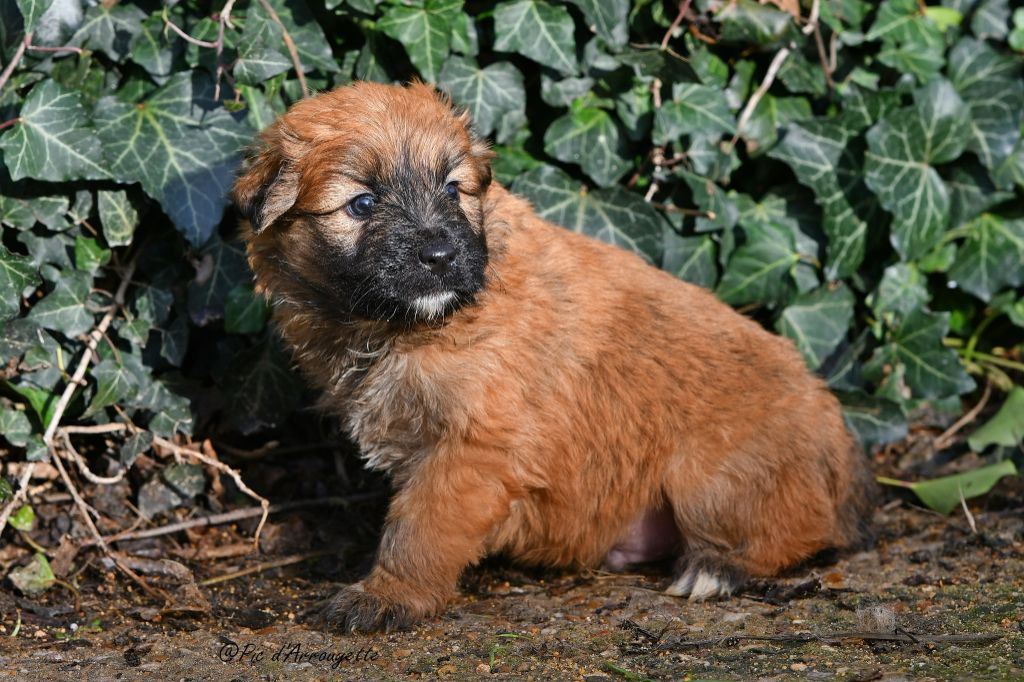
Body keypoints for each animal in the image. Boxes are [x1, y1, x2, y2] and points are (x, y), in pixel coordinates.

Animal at [232, 82, 872, 630]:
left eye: (452, 189)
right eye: (362, 204)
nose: (440, 255)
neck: (410, 327)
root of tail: (841, 445)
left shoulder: (474, 447)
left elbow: (420, 528)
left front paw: (389, 593)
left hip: (709, 474)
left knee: (803, 527)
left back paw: (718, 568)